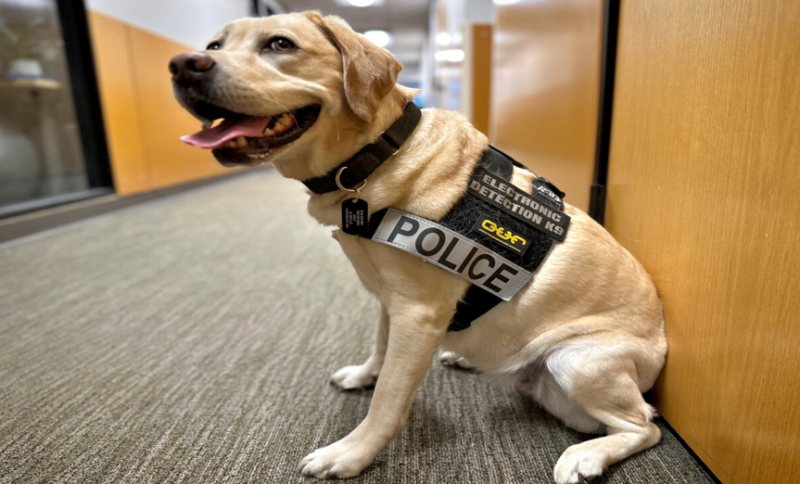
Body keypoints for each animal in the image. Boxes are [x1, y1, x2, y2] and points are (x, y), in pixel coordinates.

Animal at [170, 11, 667, 483]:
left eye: (279, 44)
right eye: (215, 45)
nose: (183, 65)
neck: (376, 158)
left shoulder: (417, 312)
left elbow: (389, 398)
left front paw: (350, 453)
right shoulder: (392, 301)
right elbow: (380, 347)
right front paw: (364, 374)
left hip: (578, 360)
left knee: (645, 426)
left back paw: (586, 456)